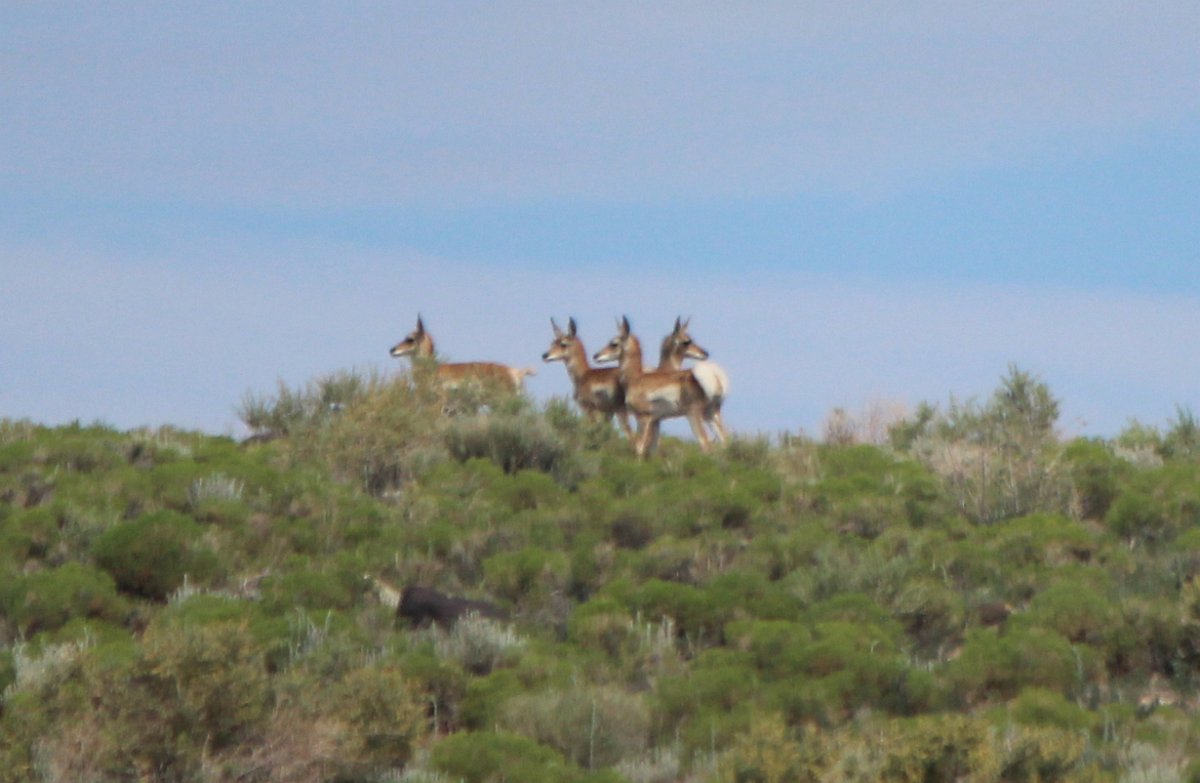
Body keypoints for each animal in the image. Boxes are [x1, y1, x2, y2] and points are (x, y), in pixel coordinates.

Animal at [593, 316, 711, 458]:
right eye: (687, 341)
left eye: (614, 343)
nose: (596, 356)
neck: (636, 378)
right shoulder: (655, 420)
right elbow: (650, 449)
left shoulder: (644, 418)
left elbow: (639, 447)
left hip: (693, 414)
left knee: (705, 443)